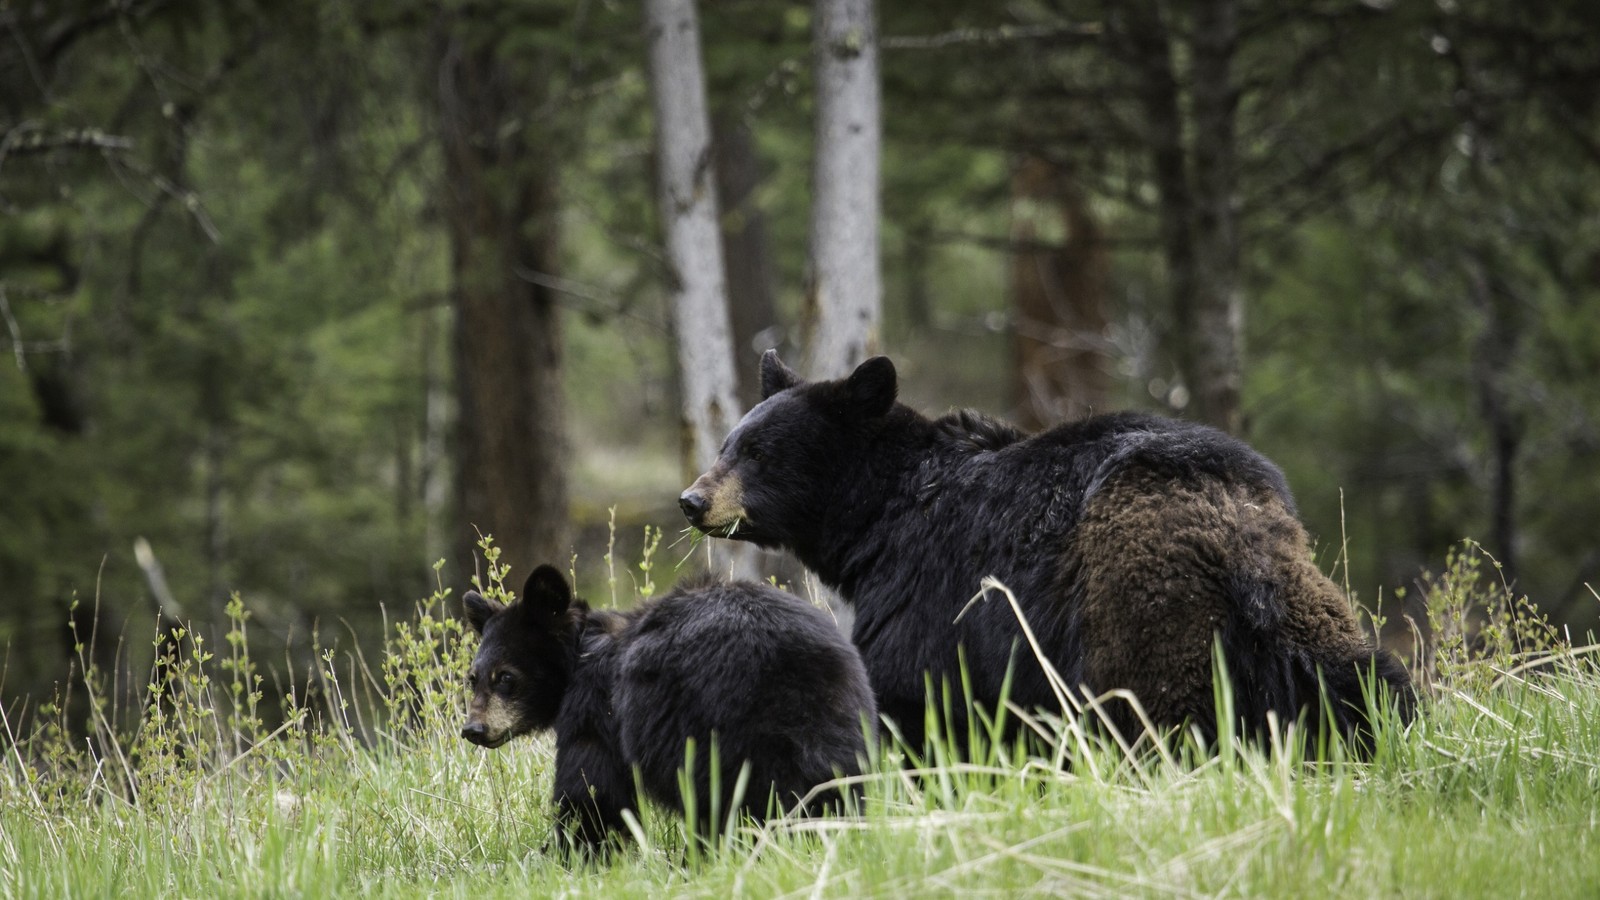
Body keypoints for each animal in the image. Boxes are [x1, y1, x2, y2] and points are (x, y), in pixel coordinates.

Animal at [457, 563, 876, 851]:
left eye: (505, 676)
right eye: (472, 678)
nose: (473, 729)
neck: (581, 652)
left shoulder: (597, 709)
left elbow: (592, 791)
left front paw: (570, 853)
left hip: (715, 728)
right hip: (842, 722)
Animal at [675, 350, 1414, 749]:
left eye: (760, 453)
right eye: (727, 444)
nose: (692, 500)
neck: (882, 516)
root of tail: (1234, 530)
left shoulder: (930, 589)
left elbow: (912, 691)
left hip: (1142, 607)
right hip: (1301, 608)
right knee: (1363, 678)